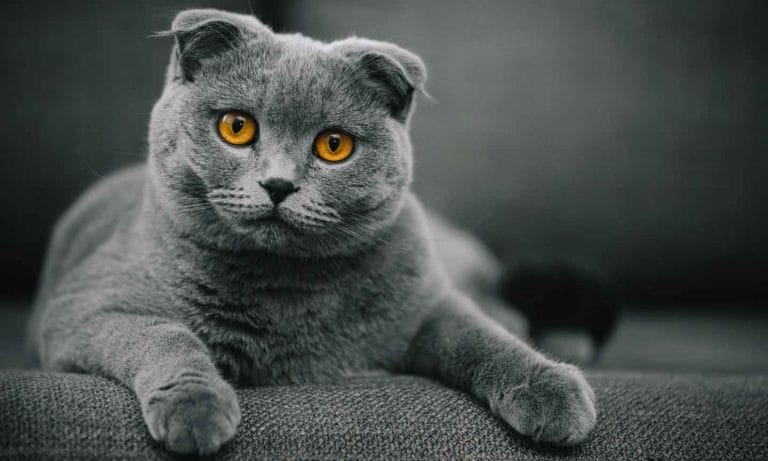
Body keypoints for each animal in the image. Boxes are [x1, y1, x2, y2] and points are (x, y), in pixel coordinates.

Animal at [28, 9, 592, 454]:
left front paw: (552, 390)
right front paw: (196, 408)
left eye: (334, 145)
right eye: (236, 127)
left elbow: (483, 336)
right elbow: (165, 335)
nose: (278, 184)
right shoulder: (85, 306)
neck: (287, 291)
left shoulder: (427, 303)